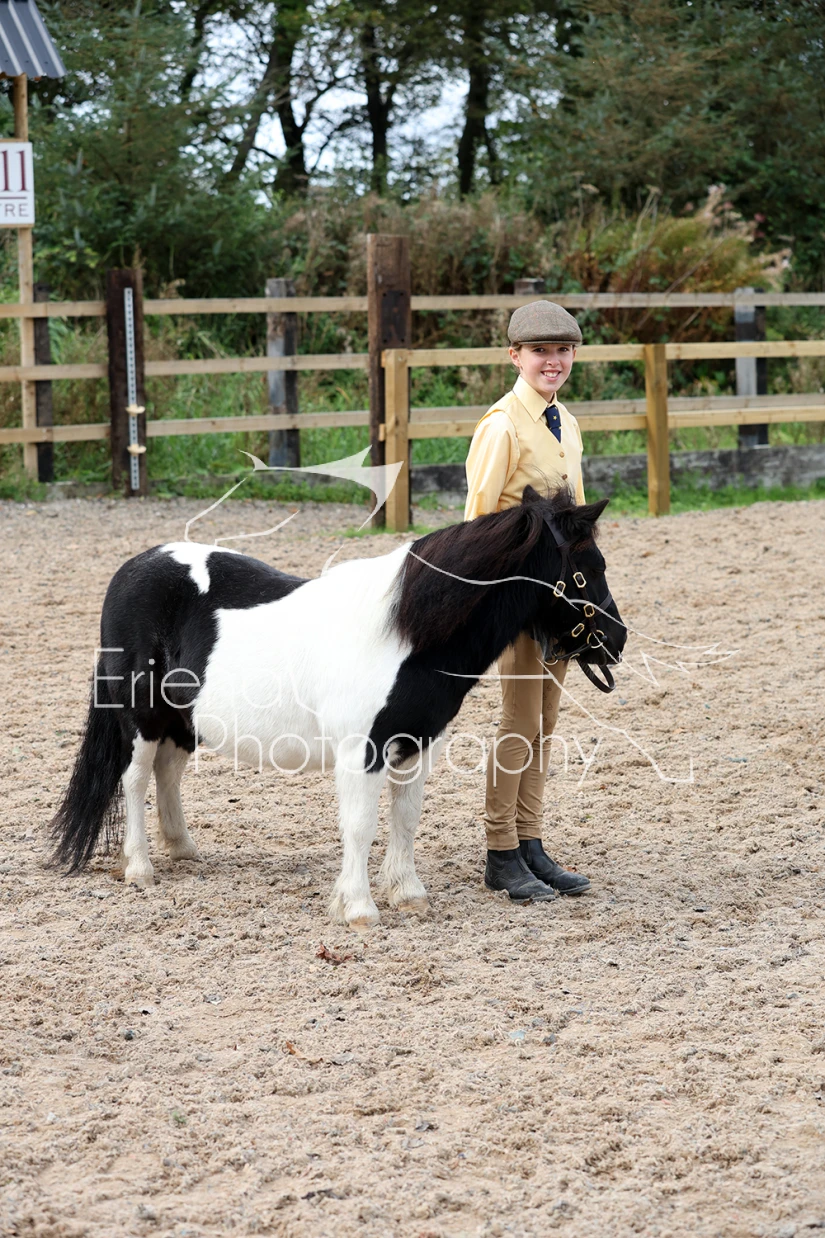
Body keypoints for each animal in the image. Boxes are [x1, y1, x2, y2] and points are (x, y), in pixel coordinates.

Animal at [50, 485, 626, 927]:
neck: (404, 633)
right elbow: (360, 824)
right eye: (589, 567)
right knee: (135, 780)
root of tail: (131, 569)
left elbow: (405, 818)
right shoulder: (361, 752)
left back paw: (184, 849)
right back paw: (140, 868)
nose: (617, 640)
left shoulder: (417, 746)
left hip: (182, 721)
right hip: (142, 720)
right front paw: (359, 908)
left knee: (168, 774)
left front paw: (408, 895)